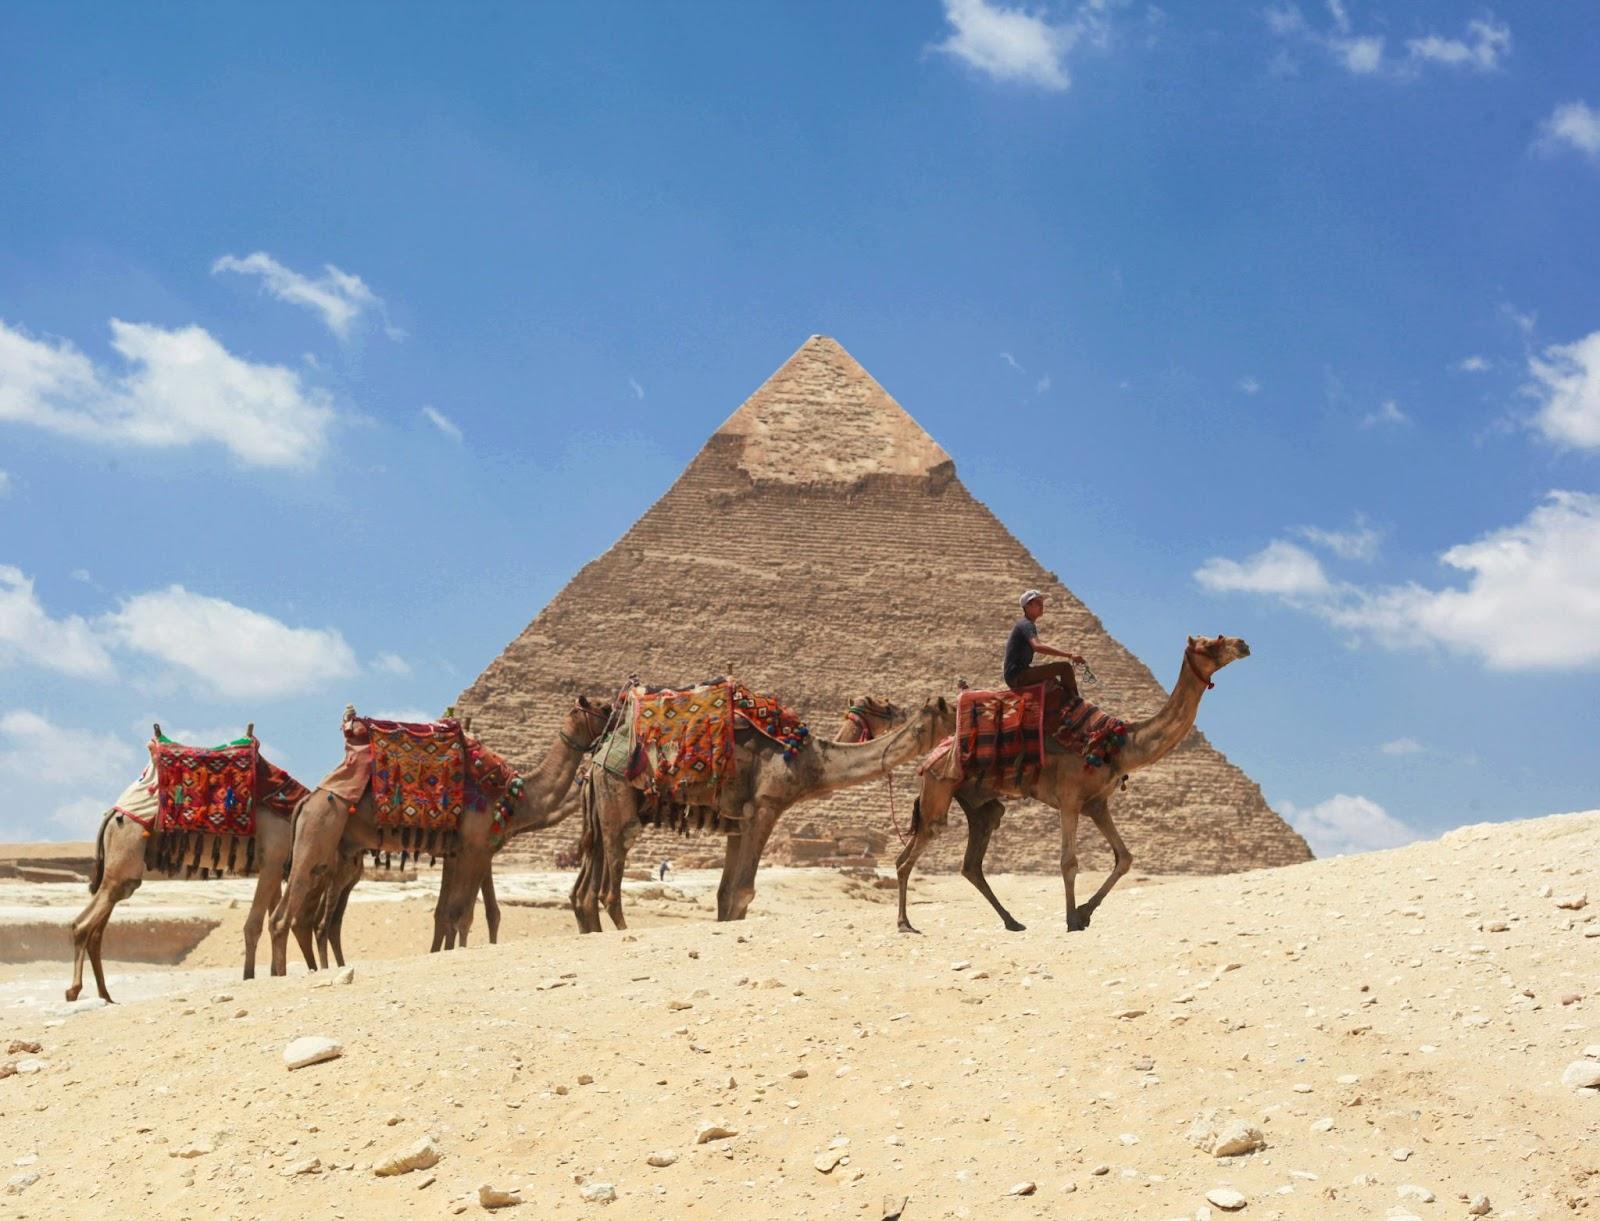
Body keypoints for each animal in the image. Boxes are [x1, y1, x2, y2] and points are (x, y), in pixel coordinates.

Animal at [65, 726, 310, 1004]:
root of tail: (112, 814)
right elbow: (255, 925)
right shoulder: (272, 860)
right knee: (82, 924)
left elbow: (273, 920)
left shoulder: (274, 867)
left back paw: (106, 995)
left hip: (120, 872)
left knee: (97, 930)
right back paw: (74, 991)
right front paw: (250, 976)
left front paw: (275, 973)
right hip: (124, 855)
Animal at [272, 697, 608, 972]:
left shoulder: (457, 853)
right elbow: (465, 914)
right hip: (317, 836)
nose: (616, 715)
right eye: (603, 708)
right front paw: (459, 953)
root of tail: (308, 799)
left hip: (332, 855)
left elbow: (446, 914)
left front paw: (439, 953)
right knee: (287, 918)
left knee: (313, 920)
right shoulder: (475, 850)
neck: (517, 797)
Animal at [902, 640, 1248, 934]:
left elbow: (1124, 857)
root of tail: (932, 758)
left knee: (970, 862)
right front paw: (1071, 919)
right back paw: (904, 924)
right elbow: (1069, 861)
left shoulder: (1096, 803)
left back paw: (1012, 922)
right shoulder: (1069, 799)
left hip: (980, 804)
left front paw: (1084, 912)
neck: (1118, 743)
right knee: (913, 852)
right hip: (940, 789)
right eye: (1209, 643)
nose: (1243, 644)